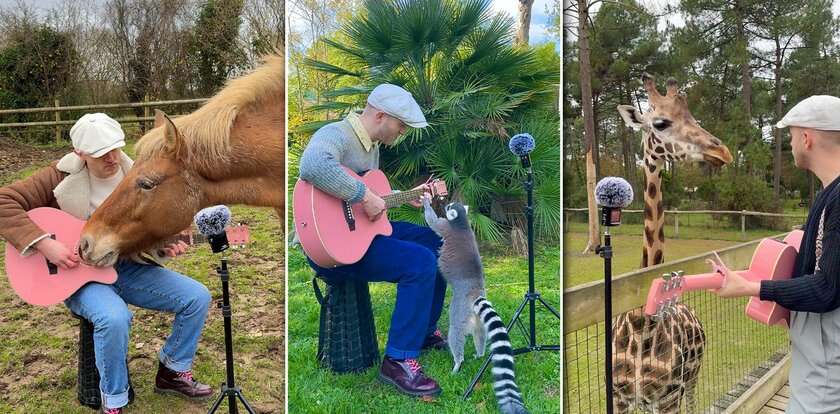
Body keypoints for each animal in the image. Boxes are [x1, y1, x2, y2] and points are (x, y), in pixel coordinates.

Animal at [608, 75, 732, 414]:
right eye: (660, 123)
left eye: (694, 118)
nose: (723, 151)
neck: (641, 324)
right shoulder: (622, 396)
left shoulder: (667, 396)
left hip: (691, 377)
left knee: (693, 401)